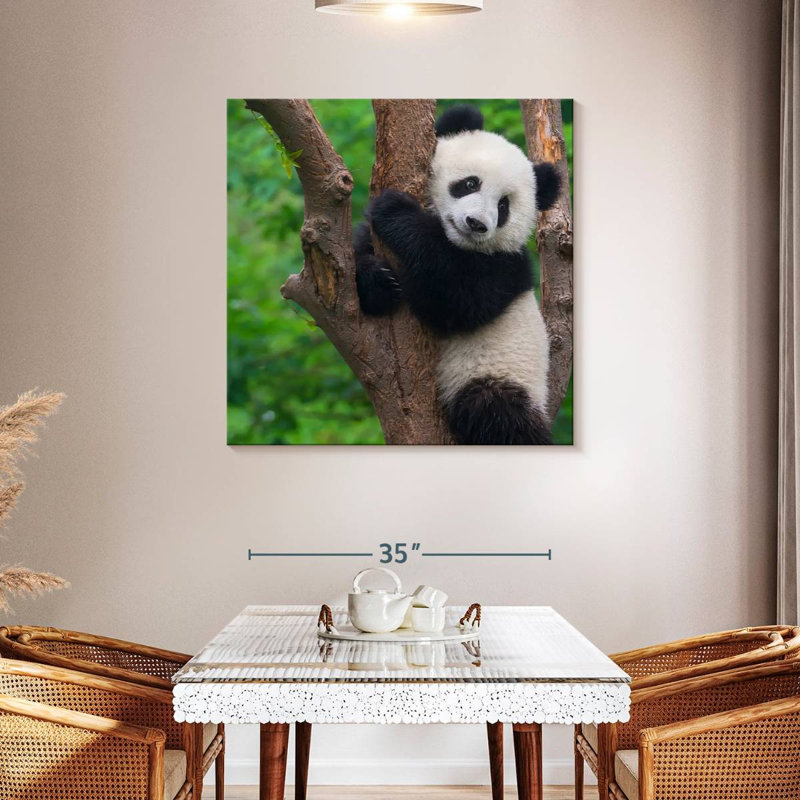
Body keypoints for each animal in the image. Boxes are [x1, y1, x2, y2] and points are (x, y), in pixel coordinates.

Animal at [354, 104, 561, 445]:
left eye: (503, 206)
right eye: (470, 184)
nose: (476, 223)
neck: (456, 242)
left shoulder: (505, 267)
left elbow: (457, 301)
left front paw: (395, 211)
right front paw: (378, 281)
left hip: (499, 375)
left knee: (497, 414)